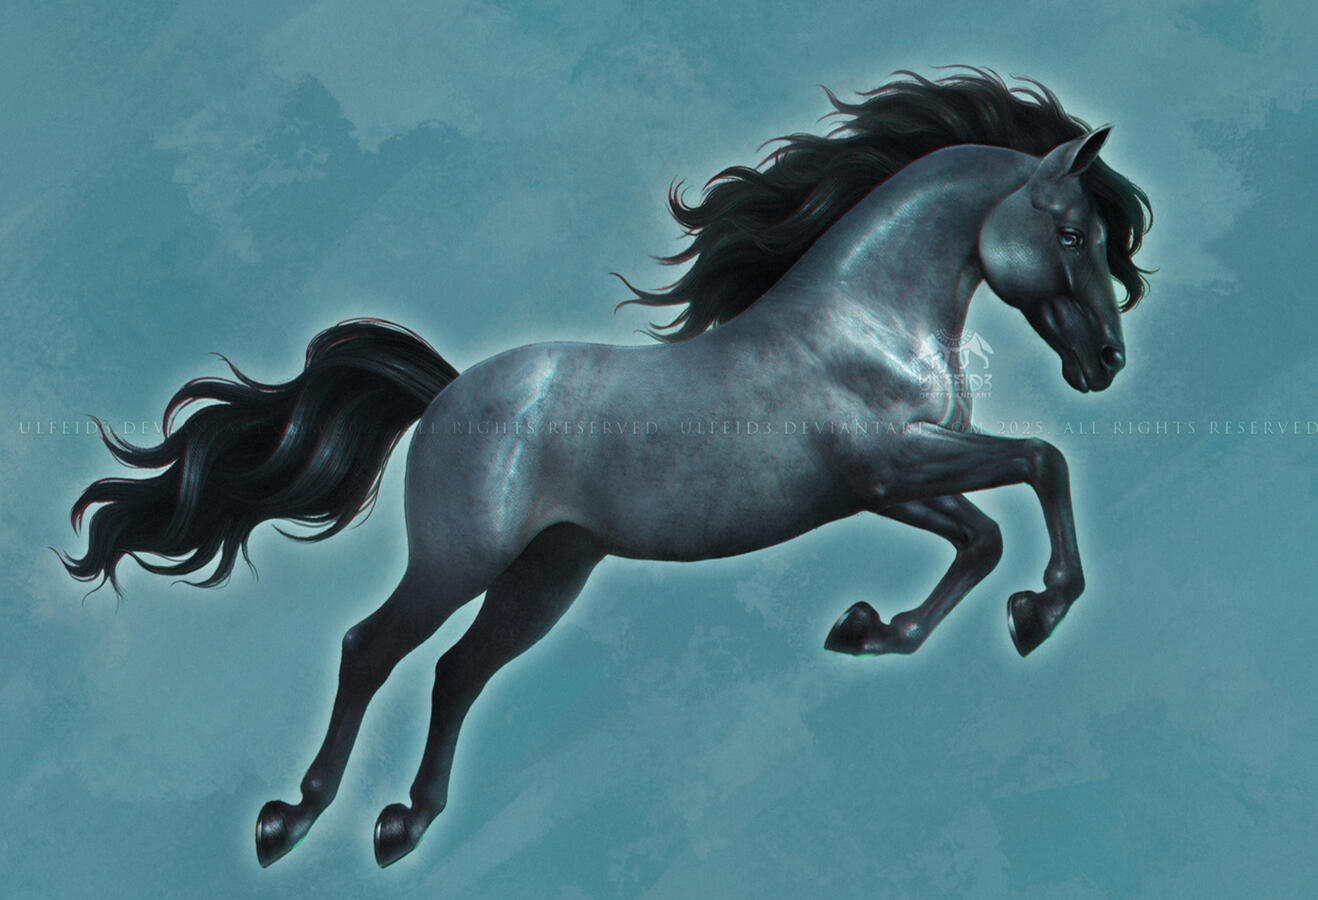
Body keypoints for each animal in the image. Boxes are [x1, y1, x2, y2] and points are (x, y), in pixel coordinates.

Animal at [61, 69, 1152, 868]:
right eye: (1069, 230)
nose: (1104, 363)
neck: (864, 320)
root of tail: (447, 394)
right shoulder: (890, 466)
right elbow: (1041, 464)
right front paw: (1039, 611)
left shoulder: (885, 487)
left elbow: (984, 531)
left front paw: (875, 629)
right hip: (457, 560)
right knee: (371, 648)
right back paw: (290, 821)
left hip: (549, 572)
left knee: (458, 670)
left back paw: (406, 824)